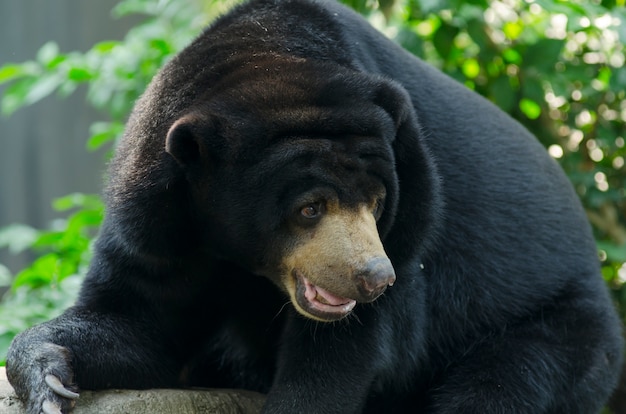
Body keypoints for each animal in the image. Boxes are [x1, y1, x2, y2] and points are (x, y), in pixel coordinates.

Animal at [6, 0, 624, 412]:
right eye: (310, 207)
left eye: (378, 201)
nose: (373, 277)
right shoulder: (159, 224)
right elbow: (138, 321)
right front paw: (49, 377)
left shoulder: (412, 227)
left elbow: (339, 360)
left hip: (554, 329)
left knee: (498, 388)